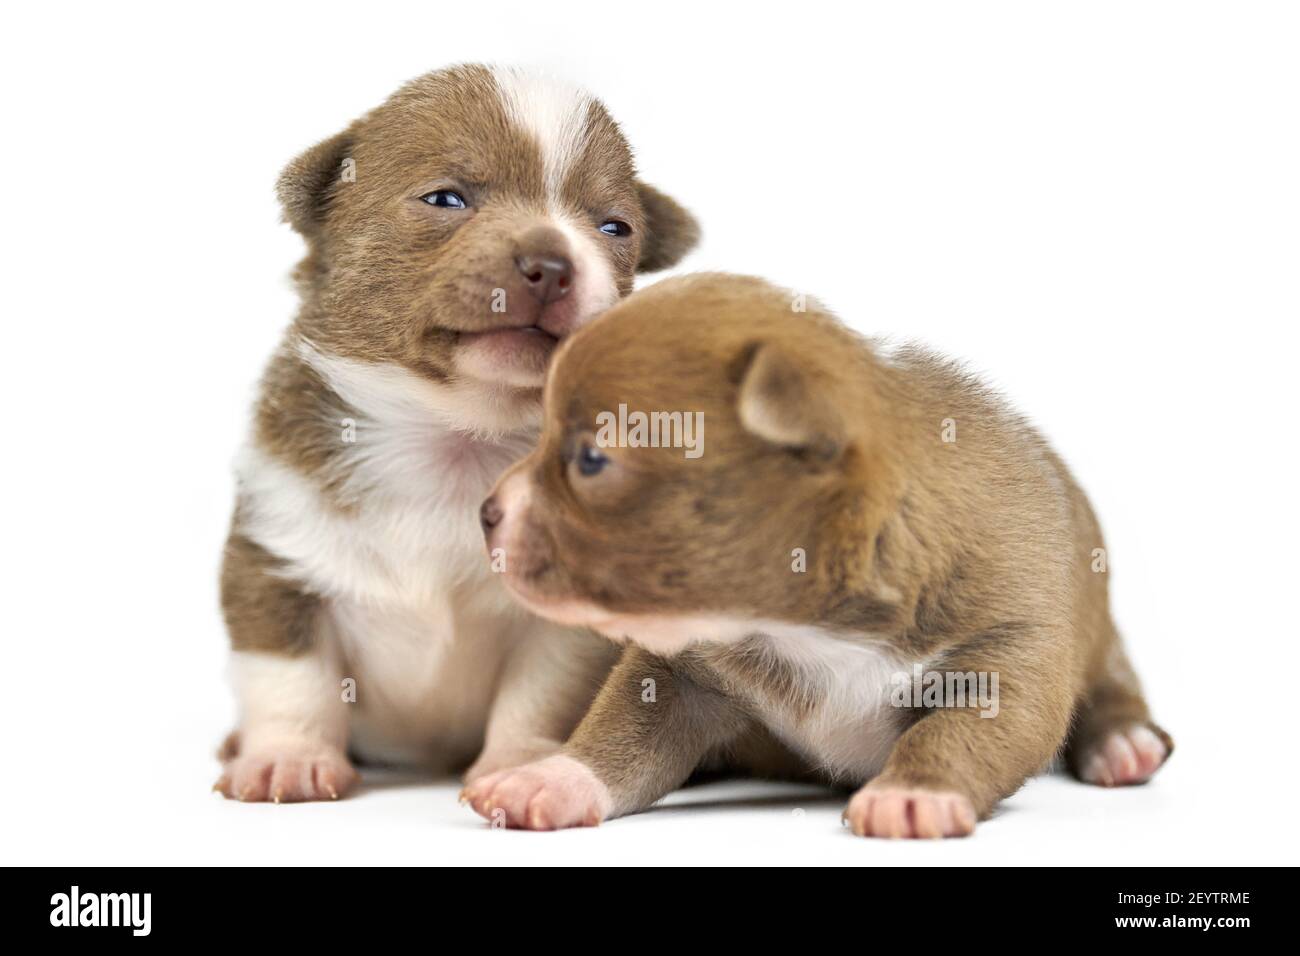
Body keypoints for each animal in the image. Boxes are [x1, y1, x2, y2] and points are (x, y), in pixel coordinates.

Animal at [214, 63, 702, 806]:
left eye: (614, 226)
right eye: (446, 199)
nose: (553, 262)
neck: (457, 436)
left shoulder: (568, 620)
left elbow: (542, 692)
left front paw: (519, 763)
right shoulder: (274, 559)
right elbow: (288, 675)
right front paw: (287, 757)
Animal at [465, 270, 1170, 837]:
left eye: (590, 459)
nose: (485, 513)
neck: (803, 625)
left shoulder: (1007, 653)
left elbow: (959, 729)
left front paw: (914, 792)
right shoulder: (680, 673)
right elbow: (619, 731)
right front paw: (552, 778)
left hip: (1097, 619)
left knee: (1114, 680)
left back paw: (1124, 743)